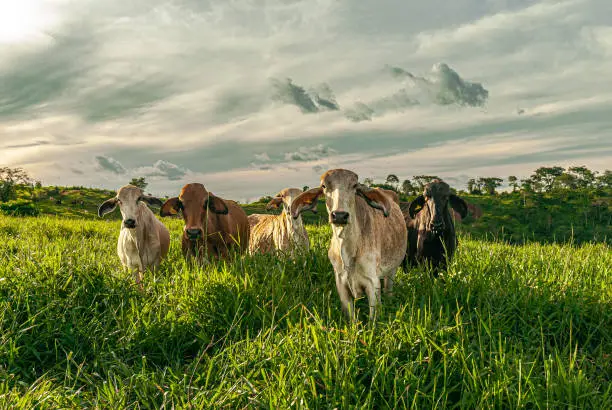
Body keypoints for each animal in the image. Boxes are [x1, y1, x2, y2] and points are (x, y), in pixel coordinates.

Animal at [290, 169, 406, 320]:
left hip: (392, 271)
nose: (339, 215)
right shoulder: (341, 284)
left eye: (355, 185)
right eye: (324, 186)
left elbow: (373, 320)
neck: (348, 251)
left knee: (388, 288)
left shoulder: (372, 283)